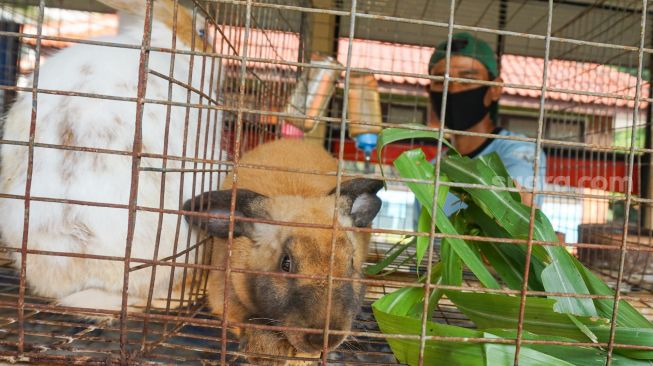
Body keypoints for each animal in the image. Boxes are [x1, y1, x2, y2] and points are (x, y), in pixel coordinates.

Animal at [183, 139, 382, 364]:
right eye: (285, 263)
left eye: (351, 262)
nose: (325, 340)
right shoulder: (222, 293)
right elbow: (247, 318)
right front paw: (267, 354)